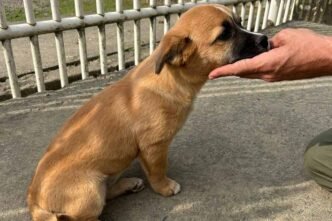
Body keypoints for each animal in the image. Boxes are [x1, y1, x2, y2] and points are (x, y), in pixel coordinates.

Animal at [27, 3, 268, 221]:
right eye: (224, 35)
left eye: (240, 23)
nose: (265, 39)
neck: (171, 78)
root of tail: (34, 201)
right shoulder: (154, 145)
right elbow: (158, 169)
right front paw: (165, 187)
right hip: (90, 191)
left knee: (107, 193)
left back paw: (129, 184)